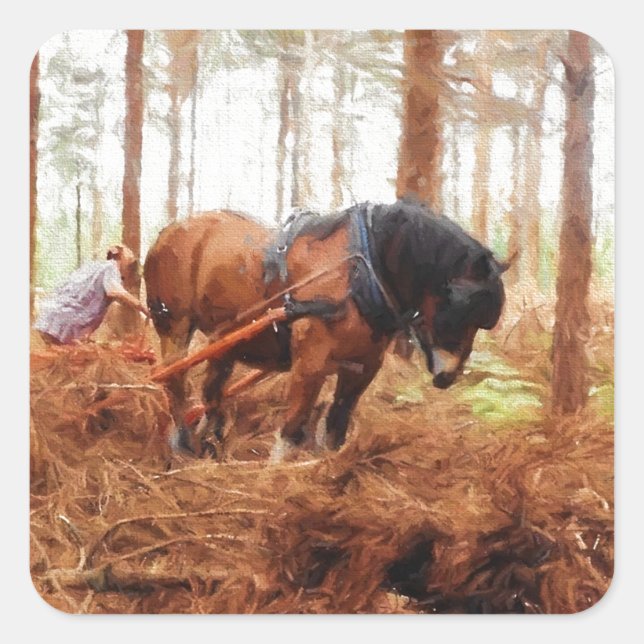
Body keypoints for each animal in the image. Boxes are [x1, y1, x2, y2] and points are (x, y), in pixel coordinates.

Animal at [144, 198, 508, 457]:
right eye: (458, 307)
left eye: (483, 321)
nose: (448, 377)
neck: (360, 269)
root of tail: (170, 230)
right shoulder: (310, 364)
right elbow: (291, 430)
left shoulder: (362, 367)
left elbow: (335, 427)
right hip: (175, 326)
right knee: (175, 380)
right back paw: (184, 443)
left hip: (226, 340)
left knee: (212, 392)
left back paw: (209, 440)